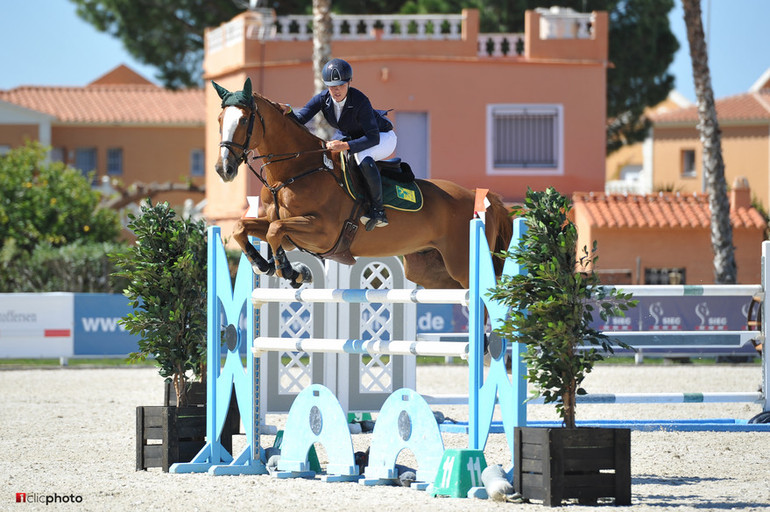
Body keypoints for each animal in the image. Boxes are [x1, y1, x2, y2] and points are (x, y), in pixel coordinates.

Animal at [212, 79, 510, 288]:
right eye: (219, 120)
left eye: (243, 120)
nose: (223, 169)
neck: (293, 172)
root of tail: (478, 196)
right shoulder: (285, 231)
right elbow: (242, 227)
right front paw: (264, 265)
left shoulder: (322, 232)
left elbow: (275, 231)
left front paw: (291, 272)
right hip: (430, 271)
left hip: (463, 265)